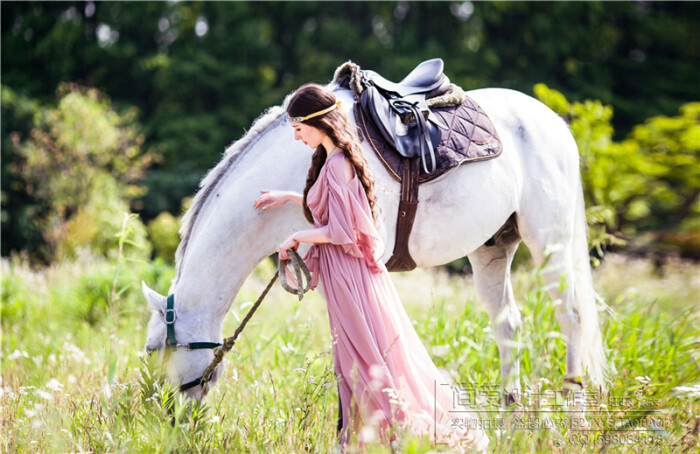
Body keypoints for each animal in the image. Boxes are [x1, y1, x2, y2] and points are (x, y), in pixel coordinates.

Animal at [141, 76, 608, 402]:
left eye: (152, 349)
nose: (164, 414)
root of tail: (553, 123)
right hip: (491, 249)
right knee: (509, 323)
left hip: (549, 243)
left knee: (571, 318)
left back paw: (575, 409)